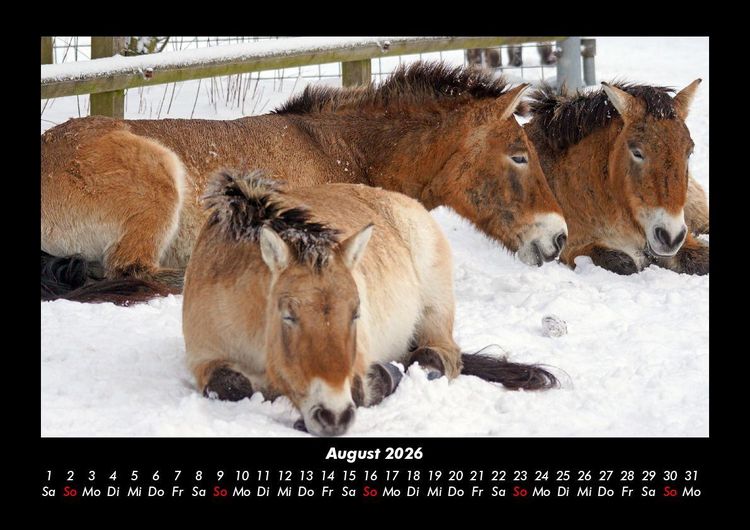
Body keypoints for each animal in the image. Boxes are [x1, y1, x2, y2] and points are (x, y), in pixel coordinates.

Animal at [182, 170, 558, 436]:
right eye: (287, 315)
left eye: (356, 313)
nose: (332, 415)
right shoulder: (204, 360)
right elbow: (230, 385)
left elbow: (363, 389)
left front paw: (382, 378)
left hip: (435, 308)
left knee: (438, 355)